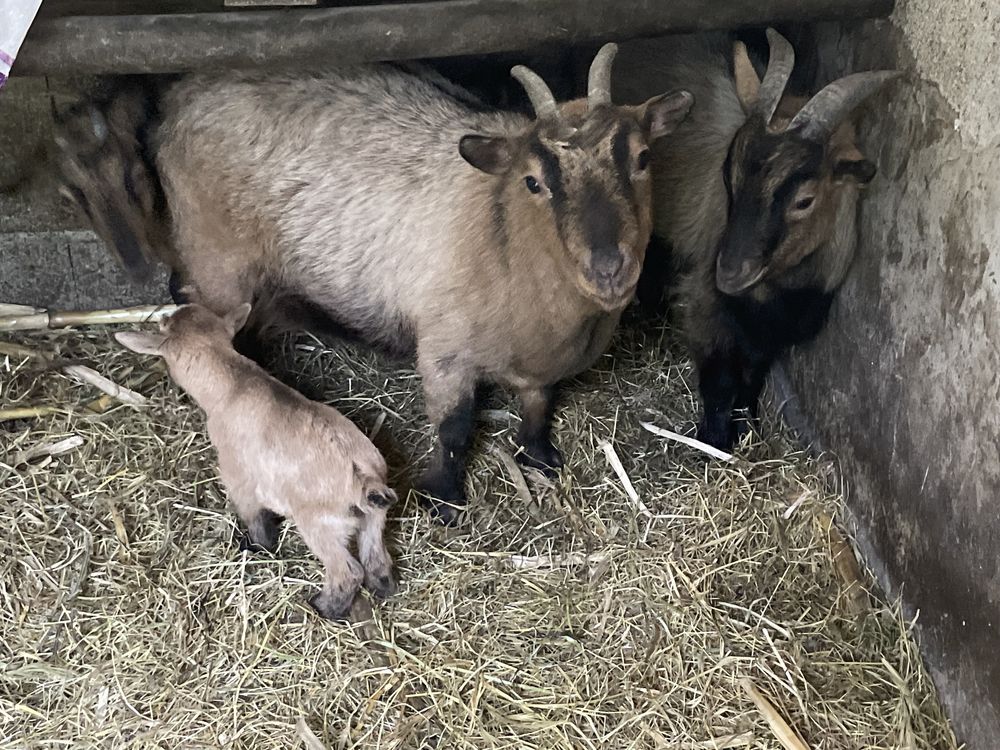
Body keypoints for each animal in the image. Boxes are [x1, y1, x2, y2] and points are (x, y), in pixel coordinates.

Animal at [116, 302, 394, 620]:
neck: (231, 385)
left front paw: (259, 547)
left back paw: (322, 607)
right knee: (376, 560)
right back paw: (383, 588)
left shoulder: (238, 475)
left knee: (347, 572)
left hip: (320, 525)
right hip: (374, 520)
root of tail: (364, 477)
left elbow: (253, 515)